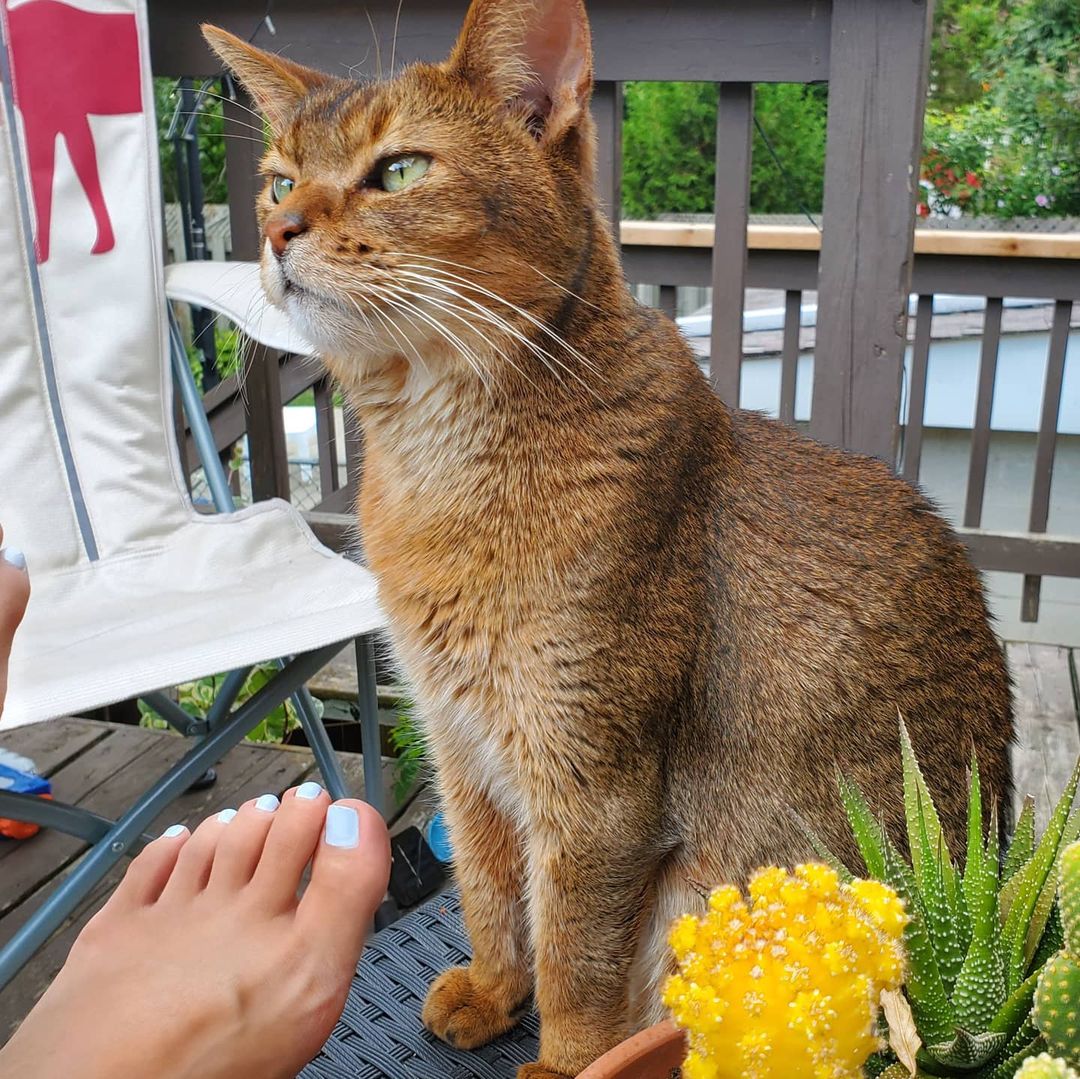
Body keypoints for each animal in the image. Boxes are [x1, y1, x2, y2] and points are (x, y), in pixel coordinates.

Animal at [203, 4, 1010, 1075]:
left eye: (401, 169)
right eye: (280, 179)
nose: (276, 229)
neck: (432, 463)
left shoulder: (594, 779)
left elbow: (574, 942)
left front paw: (566, 1056)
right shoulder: (461, 742)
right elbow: (490, 889)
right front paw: (494, 989)